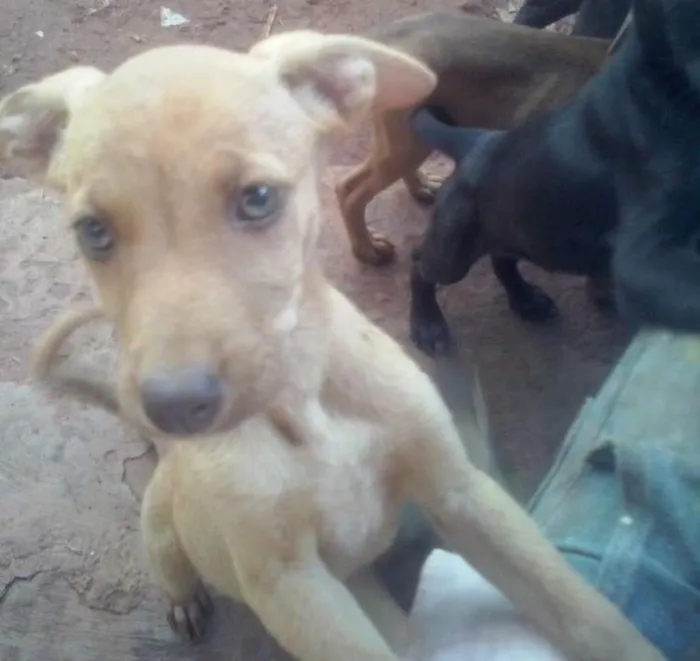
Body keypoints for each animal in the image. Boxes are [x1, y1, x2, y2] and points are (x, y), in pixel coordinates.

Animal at [410, 0, 700, 356]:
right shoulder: (641, 256)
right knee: (420, 263)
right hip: (454, 243)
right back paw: (428, 325)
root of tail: (477, 141)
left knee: (501, 258)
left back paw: (525, 300)